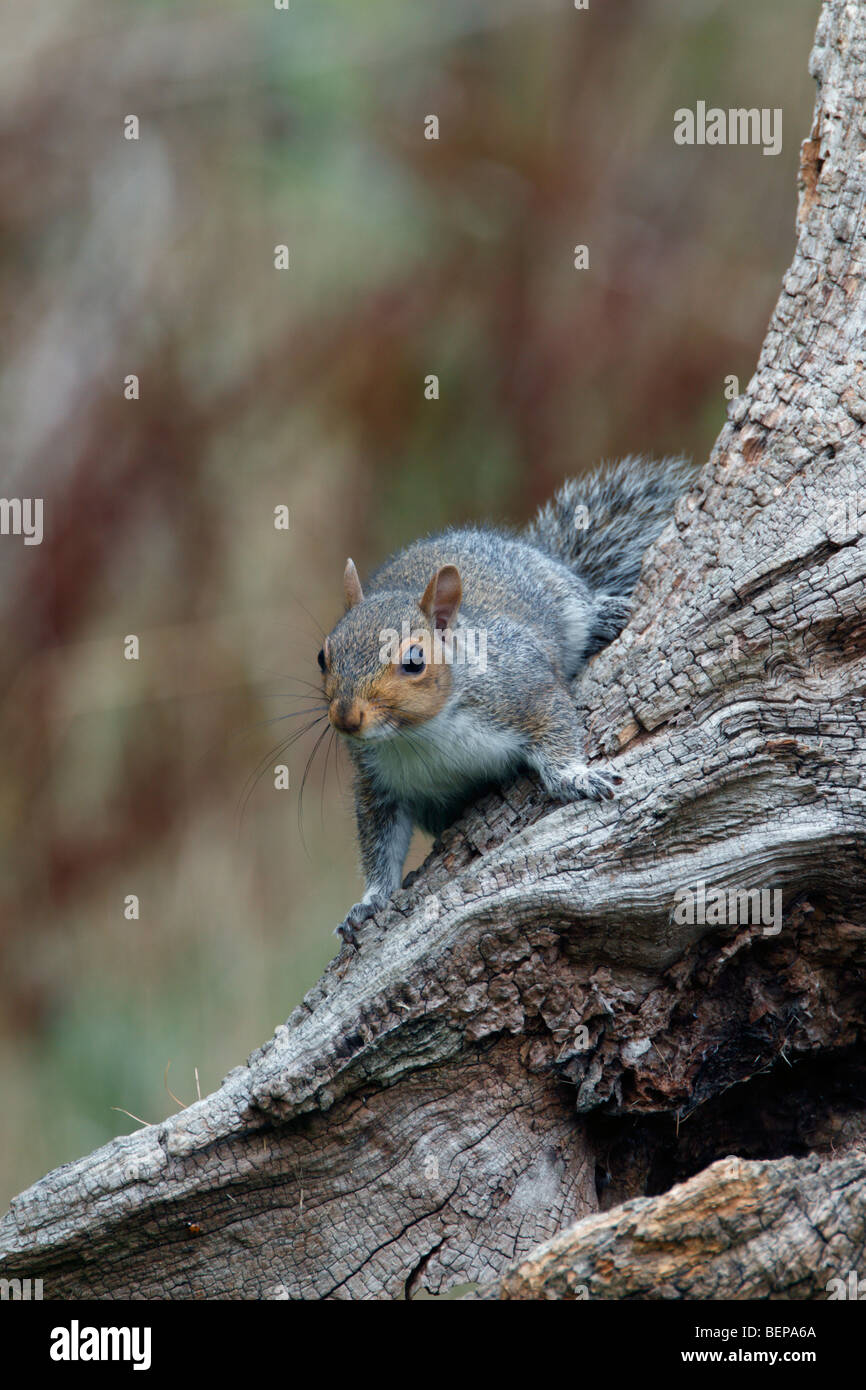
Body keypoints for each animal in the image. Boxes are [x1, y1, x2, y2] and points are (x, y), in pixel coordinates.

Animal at [318, 455, 692, 945]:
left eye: (415, 661)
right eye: (322, 656)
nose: (346, 718)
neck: (421, 733)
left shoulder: (523, 688)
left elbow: (556, 725)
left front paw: (575, 778)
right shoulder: (378, 780)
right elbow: (379, 841)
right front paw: (370, 901)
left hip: (556, 590)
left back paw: (603, 612)